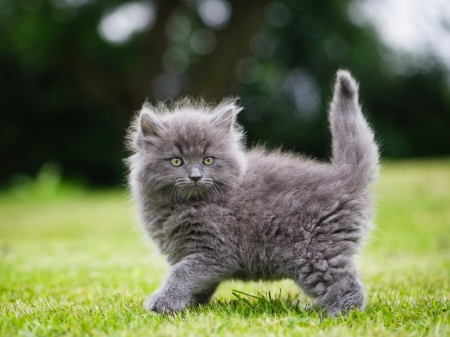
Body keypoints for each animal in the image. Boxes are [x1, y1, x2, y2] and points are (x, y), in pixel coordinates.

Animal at [125, 69, 378, 316]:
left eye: (208, 160)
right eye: (176, 161)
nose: (195, 176)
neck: (187, 205)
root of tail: (343, 176)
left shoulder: (215, 251)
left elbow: (183, 273)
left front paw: (162, 303)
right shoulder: (188, 251)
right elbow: (198, 282)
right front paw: (190, 305)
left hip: (313, 252)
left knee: (347, 286)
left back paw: (335, 315)